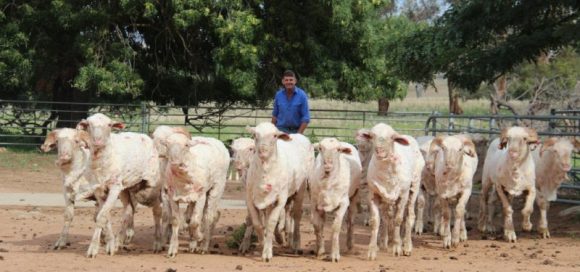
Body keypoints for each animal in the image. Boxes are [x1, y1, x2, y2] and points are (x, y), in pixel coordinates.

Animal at [77, 112, 163, 258]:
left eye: (109, 125)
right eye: (89, 124)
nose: (98, 141)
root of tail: (145, 136)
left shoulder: (114, 187)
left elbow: (101, 217)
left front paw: (93, 249)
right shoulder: (99, 190)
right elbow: (105, 217)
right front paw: (110, 245)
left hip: (149, 187)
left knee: (157, 209)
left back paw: (158, 243)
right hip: (126, 188)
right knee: (128, 210)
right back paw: (119, 241)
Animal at [244, 122, 314, 262]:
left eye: (275, 136)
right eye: (255, 135)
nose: (263, 151)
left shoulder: (280, 199)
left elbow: (271, 223)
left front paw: (267, 253)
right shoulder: (251, 198)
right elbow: (258, 223)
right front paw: (263, 242)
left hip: (301, 189)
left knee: (296, 216)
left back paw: (295, 243)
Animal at [362, 123, 426, 260]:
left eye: (392, 137)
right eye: (372, 136)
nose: (379, 151)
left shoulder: (403, 195)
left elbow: (398, 220)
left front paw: (397, 248)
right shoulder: (373, 195)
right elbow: (375, 221)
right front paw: (372, 250)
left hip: (414, 186)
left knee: (409, 216)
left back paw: (406, 246)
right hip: (388, 199)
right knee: (387, 217)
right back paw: (385, 242)